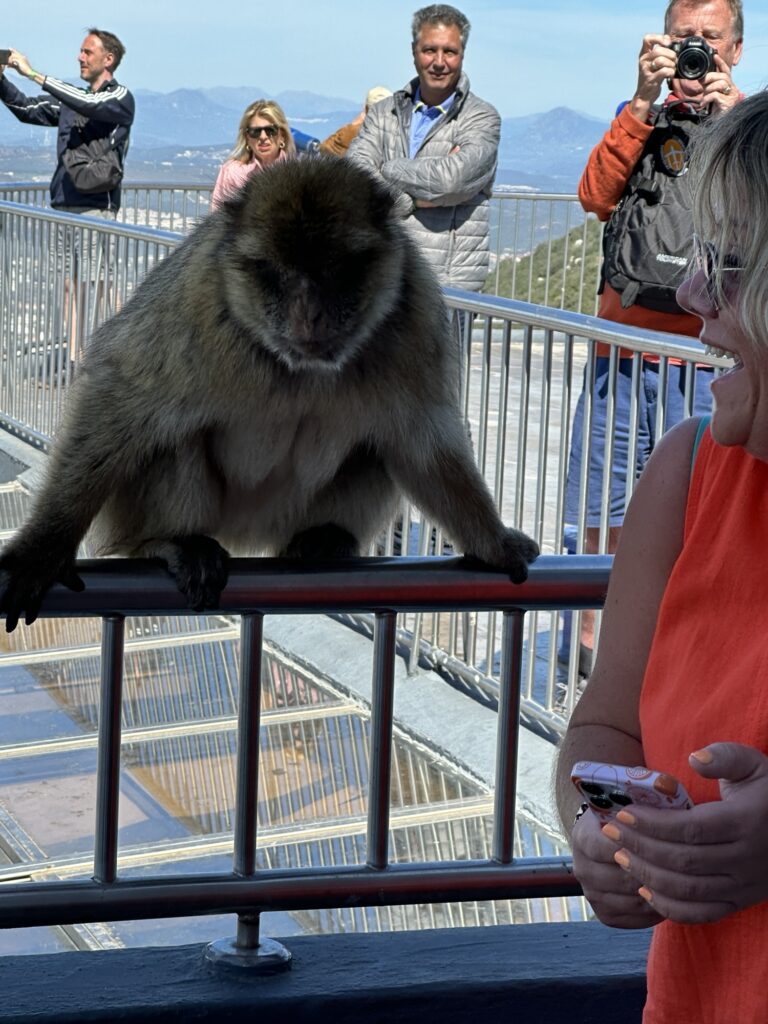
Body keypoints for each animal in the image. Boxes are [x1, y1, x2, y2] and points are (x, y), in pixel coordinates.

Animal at [0, 156, 539, 631]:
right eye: (274, 272)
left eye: (337, 270)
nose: (308, 316)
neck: (299, 370)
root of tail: (248, 534)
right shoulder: (193, 302)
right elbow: (118, 396)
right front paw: (41, 550)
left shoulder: (416, 312)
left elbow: (424, 440)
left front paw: (493, 542)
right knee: (171, 442)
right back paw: (169, 542)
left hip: (286, 516)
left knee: (379, 448)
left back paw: (324, 539)